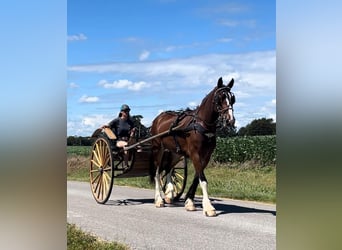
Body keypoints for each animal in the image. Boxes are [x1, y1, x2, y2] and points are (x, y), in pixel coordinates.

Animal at [151, 77, 236, 216]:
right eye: (220, 98)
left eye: (232, 98)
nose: (230, 120)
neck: (201, 124)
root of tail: (157, 119)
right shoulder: (194, 153)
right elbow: (203, 180)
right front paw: (209, 207)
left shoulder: (206, 156)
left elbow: (197, 178)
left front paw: (189, 201)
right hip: (158, 150)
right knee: (157, 173)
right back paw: (159, 199)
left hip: (175, 153)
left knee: (169, 169)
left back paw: (169, 193)